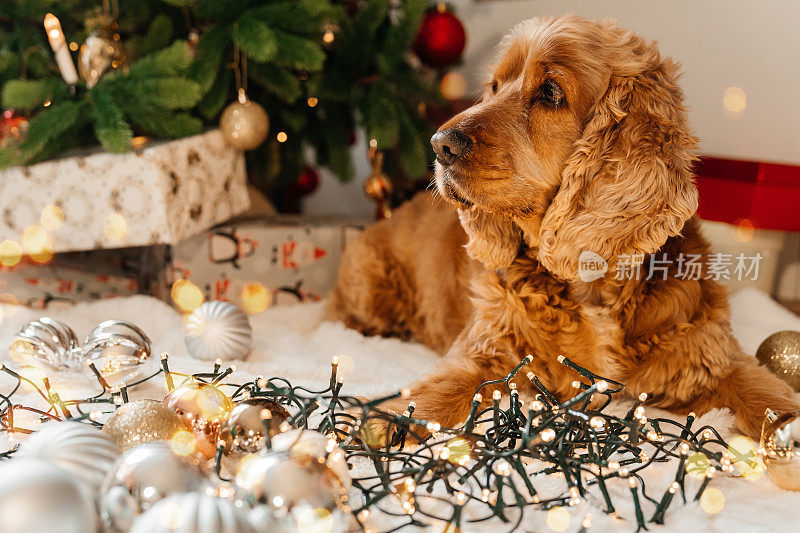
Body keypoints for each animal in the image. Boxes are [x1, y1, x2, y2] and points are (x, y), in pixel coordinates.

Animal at [328, 17, 796, 440]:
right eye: (494, 86)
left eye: (550, 93)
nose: (439, 145)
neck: (591, 289)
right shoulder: (488, 350)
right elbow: (440, 390)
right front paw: (379, 425)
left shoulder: (710, 354)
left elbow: (767, 396)